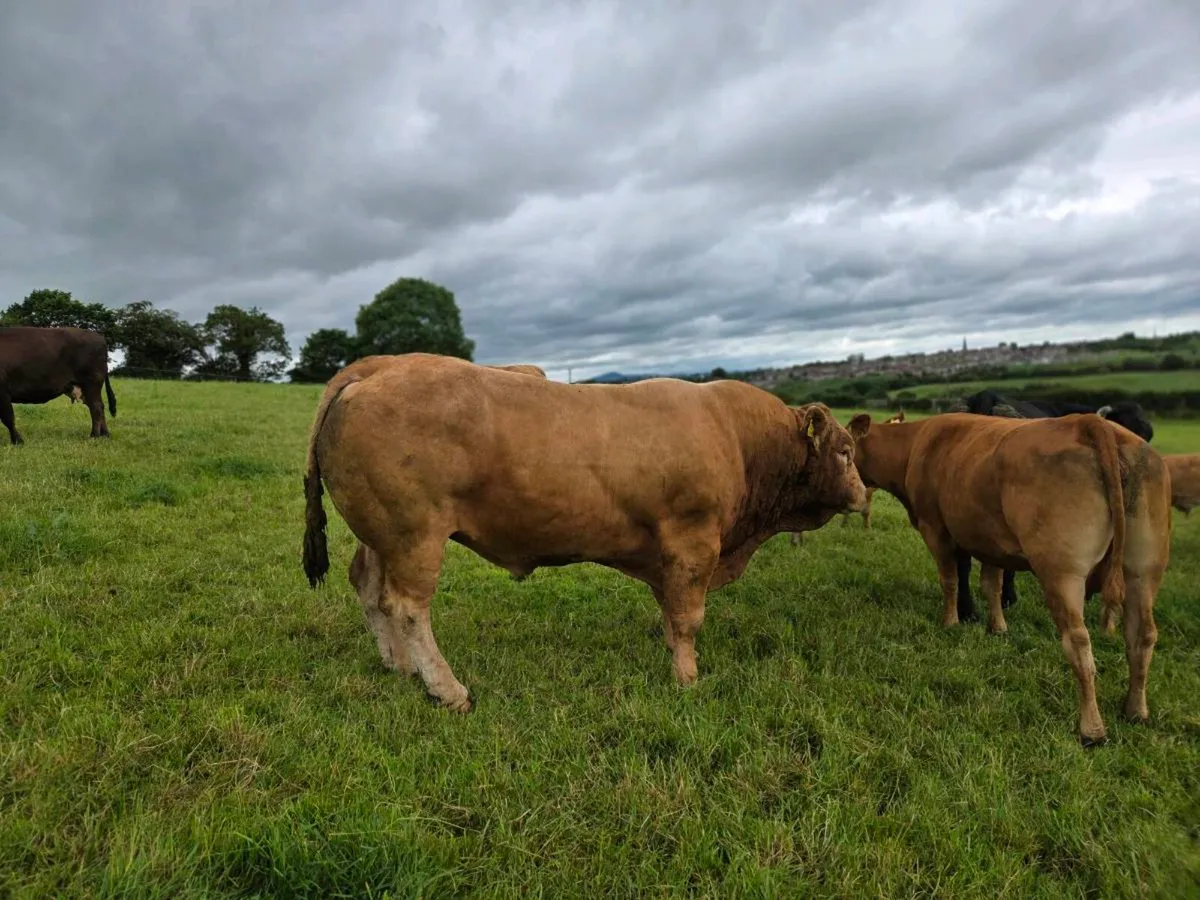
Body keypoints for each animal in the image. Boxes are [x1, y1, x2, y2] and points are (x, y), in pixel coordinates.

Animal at [301, 352, 867, 712]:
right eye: (845, 452)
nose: (863, 494)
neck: (739, 438)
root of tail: (382, 364)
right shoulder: (694, 542)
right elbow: (688, 618)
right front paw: (687, 679)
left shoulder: (670, 553)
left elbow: (670, 613)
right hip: (415, 533)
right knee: (407, 607)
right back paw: (447, 689)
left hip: (382, 534)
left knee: (369, 588)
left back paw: (398, 665)